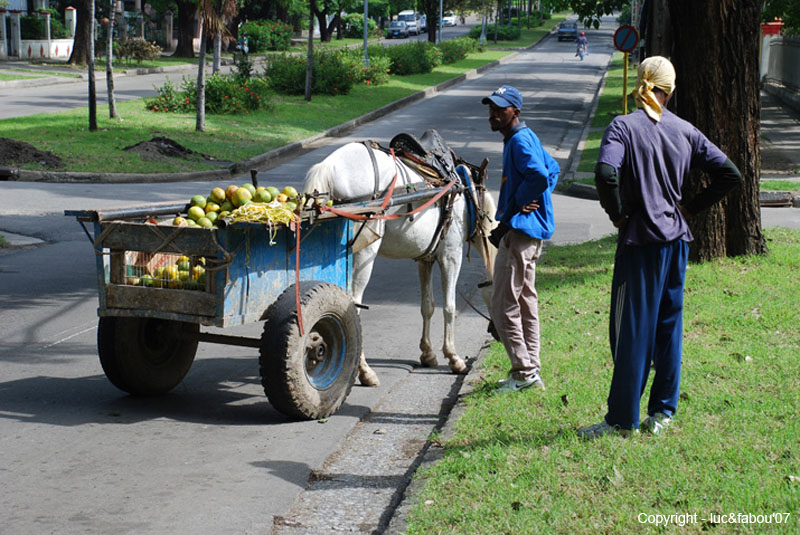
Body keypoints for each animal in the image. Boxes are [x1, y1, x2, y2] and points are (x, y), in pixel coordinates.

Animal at [304, 140, 496, 388]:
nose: (496, 335)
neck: (467, 193)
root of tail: (328, 167)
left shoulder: (425, 258)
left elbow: (428, 306)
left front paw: (428, 353)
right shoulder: (451, 254)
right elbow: (449, 307)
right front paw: (453, 357)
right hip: (363, 254)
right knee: (352, 307)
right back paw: (364, 371)